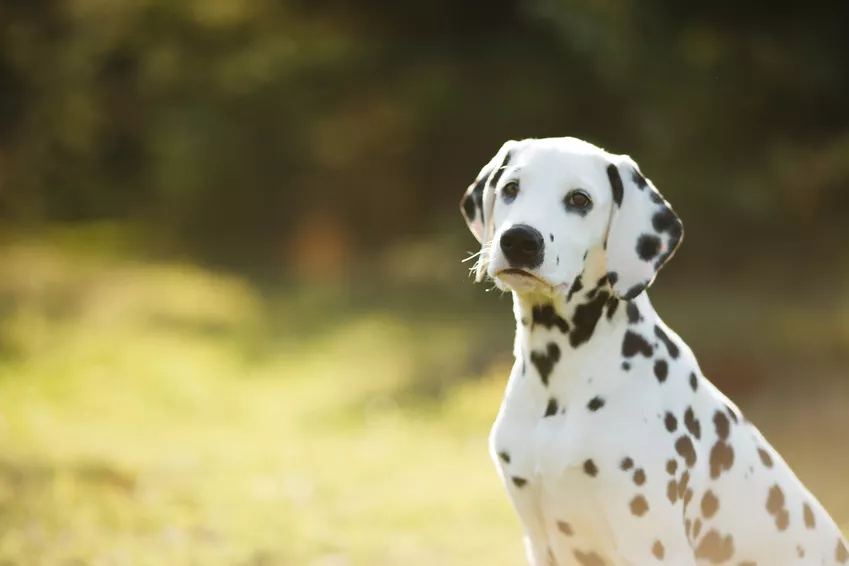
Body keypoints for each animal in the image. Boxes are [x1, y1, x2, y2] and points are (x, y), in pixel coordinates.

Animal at [460, 139, 844, 566]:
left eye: (579, 199)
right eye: (511, 188)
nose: (519, 240)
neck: (559, 384)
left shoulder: (651, 542)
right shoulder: (541, 543)